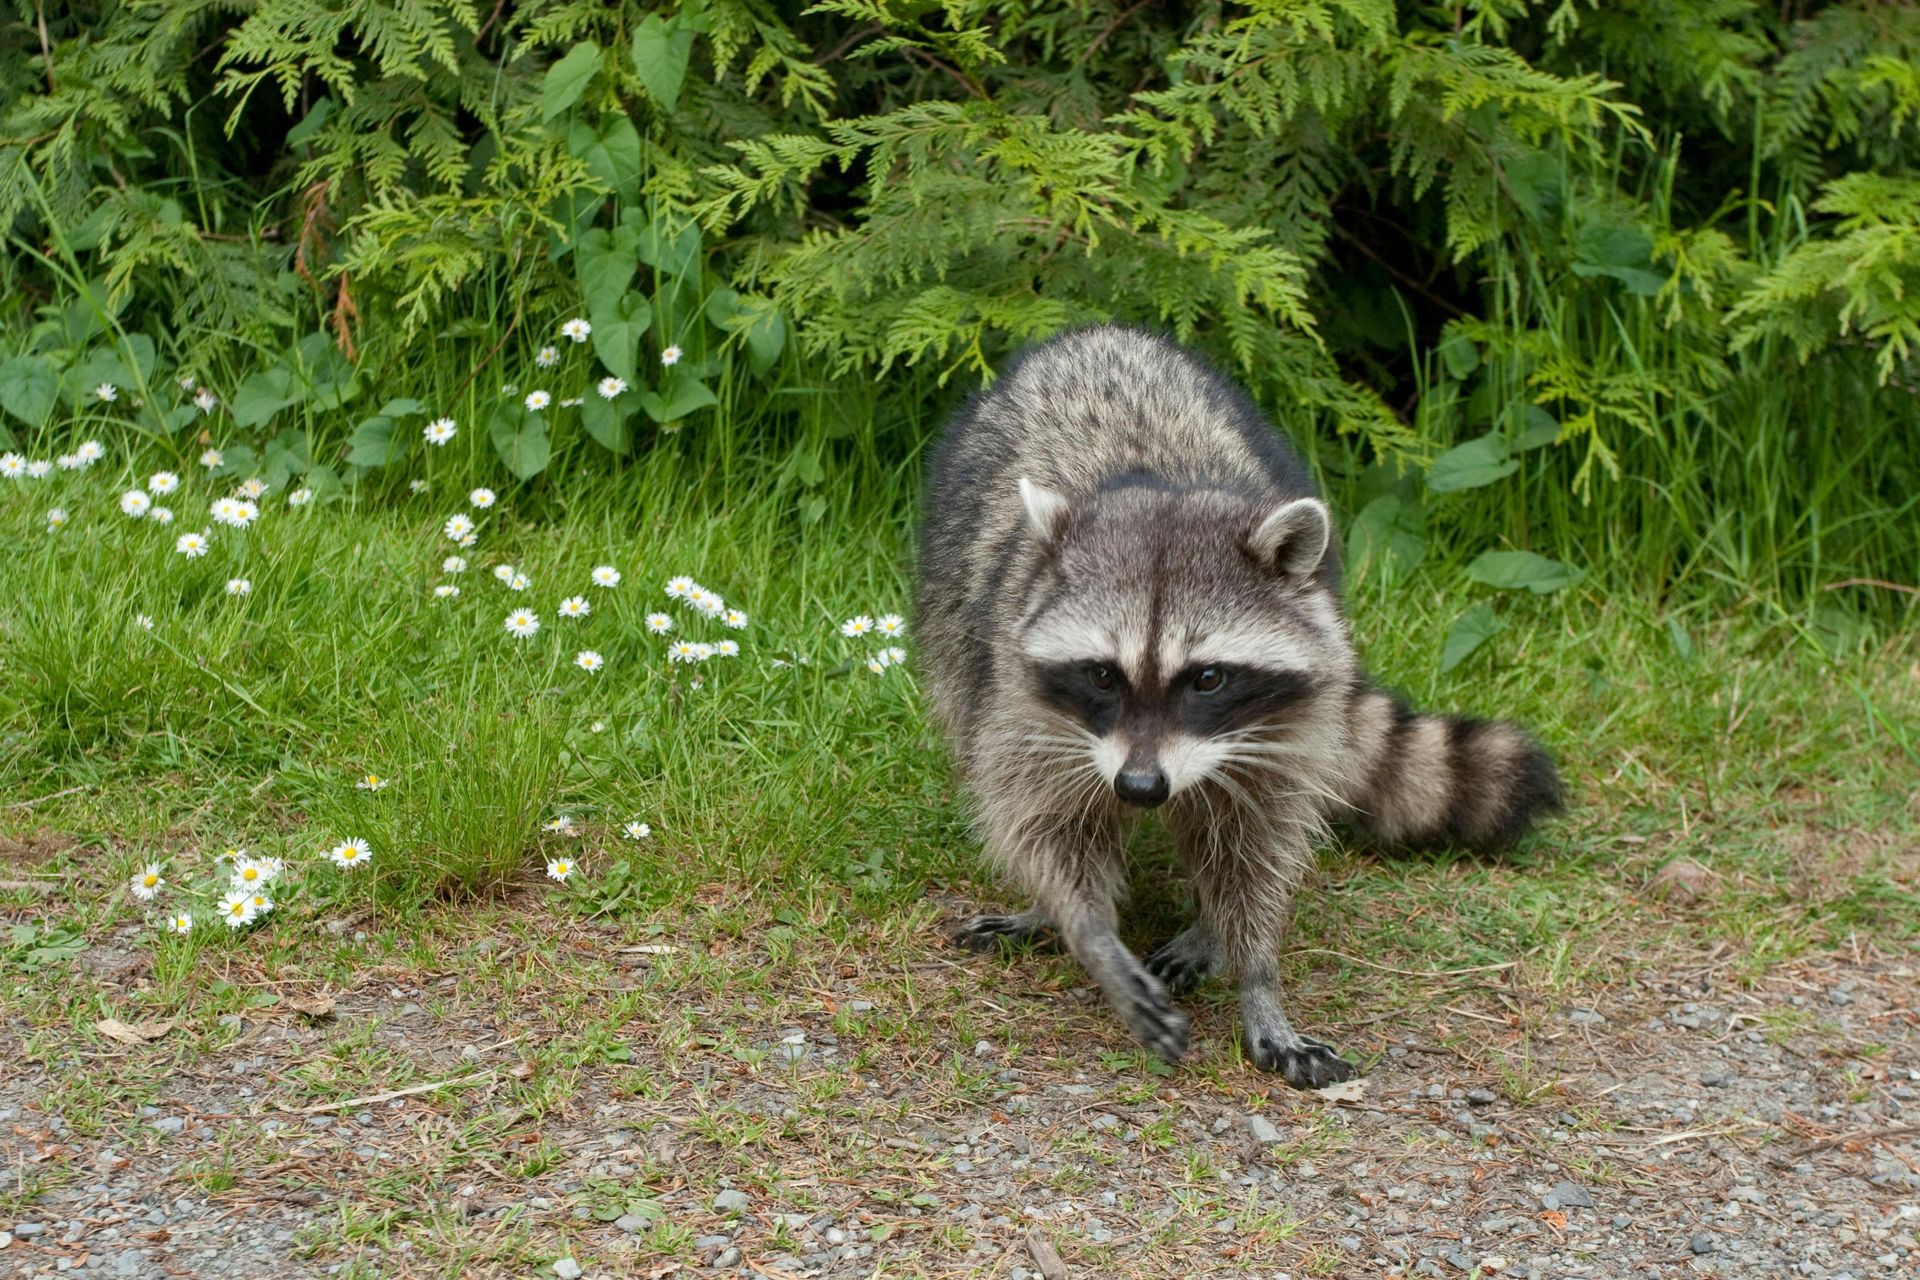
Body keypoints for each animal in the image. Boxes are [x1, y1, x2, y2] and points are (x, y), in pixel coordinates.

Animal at [916, 326, 1562, 1088]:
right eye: (1103, 675)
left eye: (1208, 679)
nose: (1141, 787)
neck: (1152, 487)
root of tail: (1100, 333)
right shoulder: (1019, 696)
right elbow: (1043, 825)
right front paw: (1090, 934)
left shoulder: (1280, 729)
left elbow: (1255, 848)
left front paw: (1255, 972)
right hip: (953, 614)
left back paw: (1206, 926)